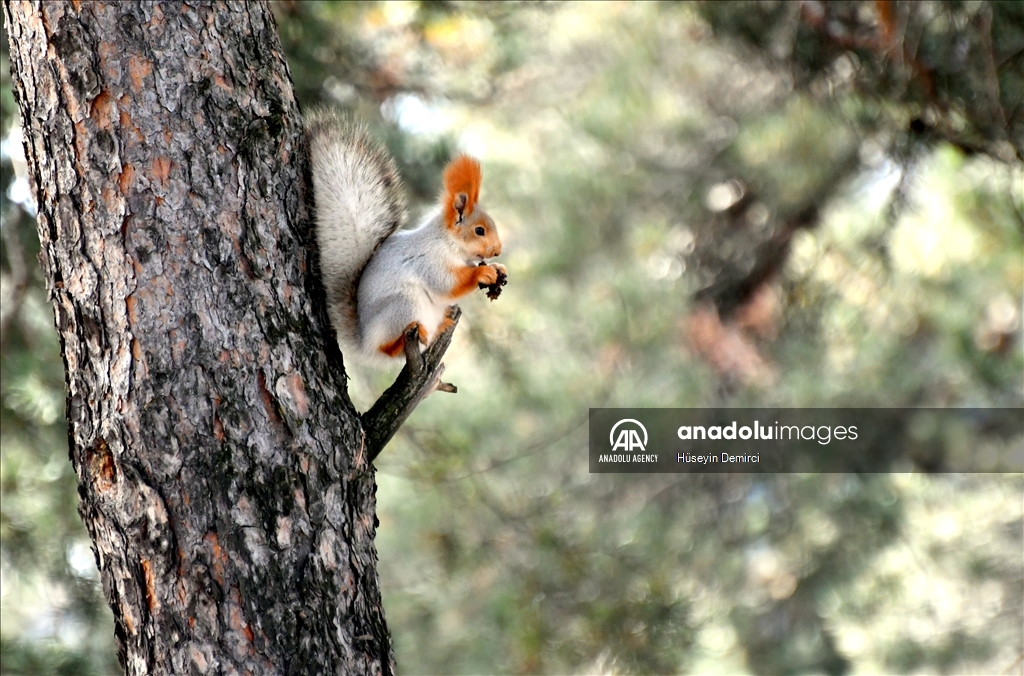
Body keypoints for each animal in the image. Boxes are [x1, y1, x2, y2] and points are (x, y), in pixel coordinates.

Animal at [307, 109, 507, 368]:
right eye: (479, 230)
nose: (498, 250)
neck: (449, 243)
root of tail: (364, 341)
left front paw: (499, 268)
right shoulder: (428, 258)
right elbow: (445, 284)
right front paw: (483, 272)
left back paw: (439, 326)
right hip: (403, 305)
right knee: (388, 349)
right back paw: (402, 340)